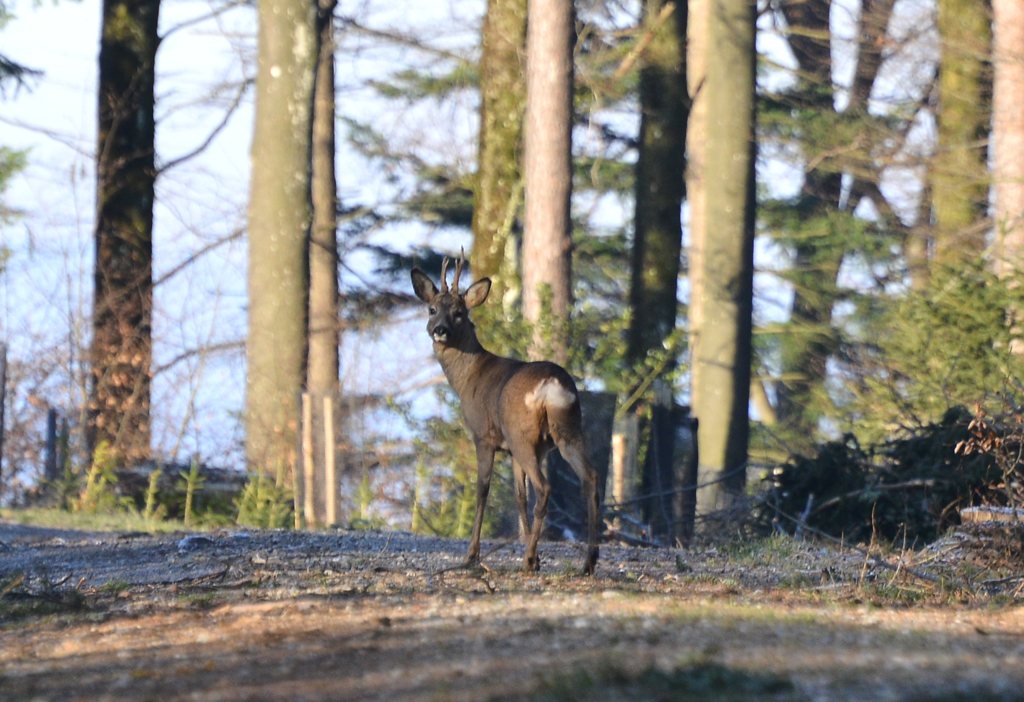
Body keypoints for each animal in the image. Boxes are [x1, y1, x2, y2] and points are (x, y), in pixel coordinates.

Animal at [407, 252, 598, 577]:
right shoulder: (512, 450)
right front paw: (537, 556)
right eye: (432, 309)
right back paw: (587, 561)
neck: (469, 377)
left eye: (459, 312)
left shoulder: (484, 437)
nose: (440, 330)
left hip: (522, 434)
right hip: (567, 430)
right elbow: (519, 497)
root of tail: (552, 385)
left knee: (544, 487)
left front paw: (472, 555)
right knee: (590, 479)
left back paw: (529, 561)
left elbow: (482, 490)